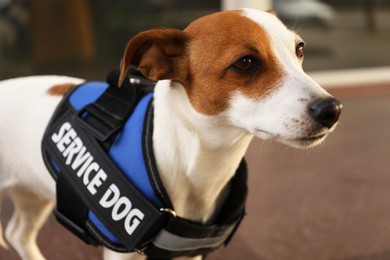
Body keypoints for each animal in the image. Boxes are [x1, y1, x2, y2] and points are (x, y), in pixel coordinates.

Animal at [0, 8, 342, 260]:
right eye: (245, 62)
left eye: (299, 50)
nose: (333, 109)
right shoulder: (121, 251)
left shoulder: (189, 252)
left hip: (33, 194)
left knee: (18, 233)